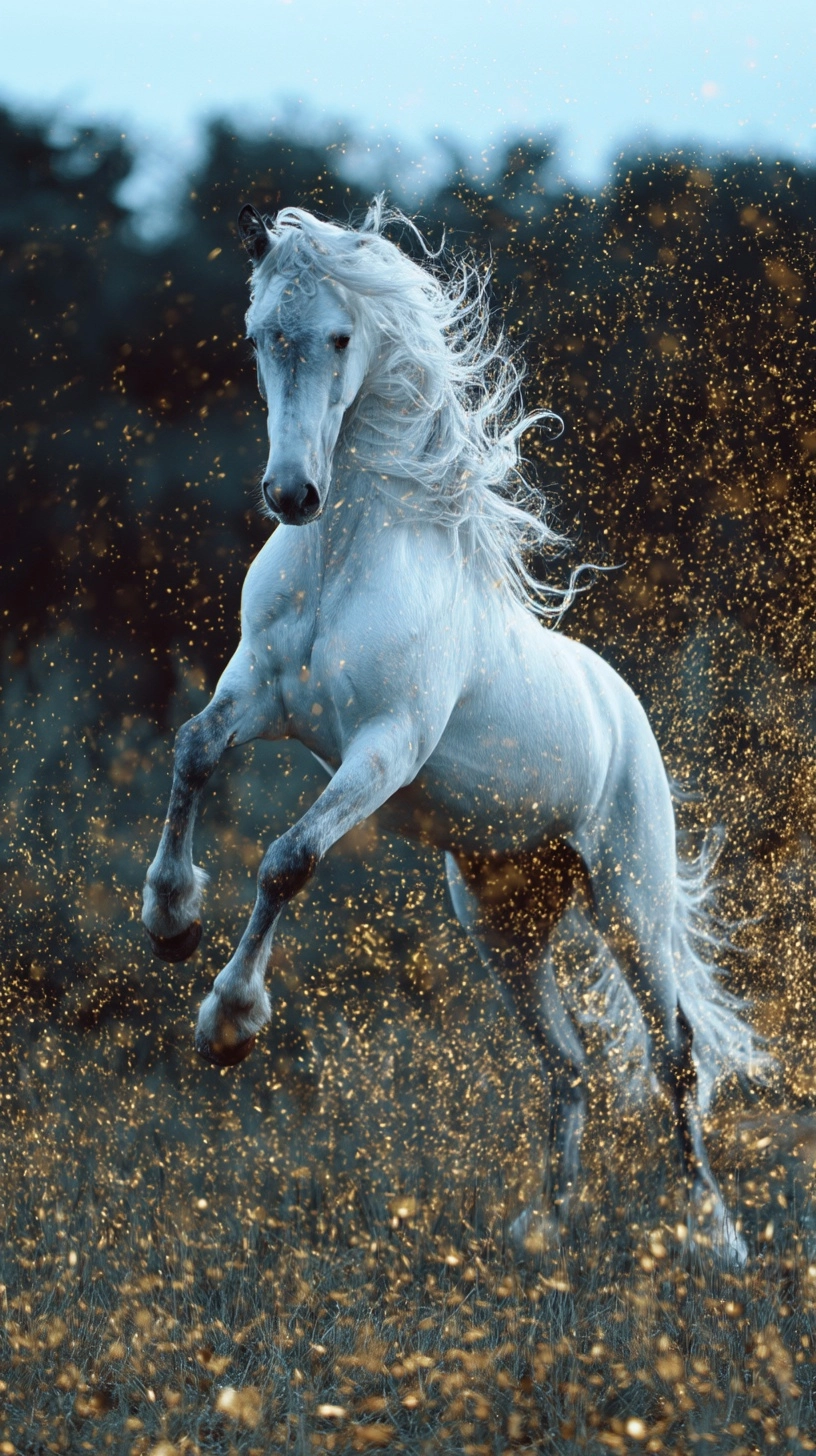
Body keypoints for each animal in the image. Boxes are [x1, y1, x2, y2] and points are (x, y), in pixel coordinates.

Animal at [142, 197, 768, 1264]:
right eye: (260, 335)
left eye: (340, 338)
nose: (292, 494)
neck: (344, 557)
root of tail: (623, 705)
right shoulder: (258, 693)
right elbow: (192, 751)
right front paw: (171, 920)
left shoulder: (385, 748)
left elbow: (288, 859)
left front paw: (228, 1022)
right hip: (503, 924)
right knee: (569, 1065)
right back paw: (543, 1234)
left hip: (629, 897)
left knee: (677, 1054)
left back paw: (713, 1239)